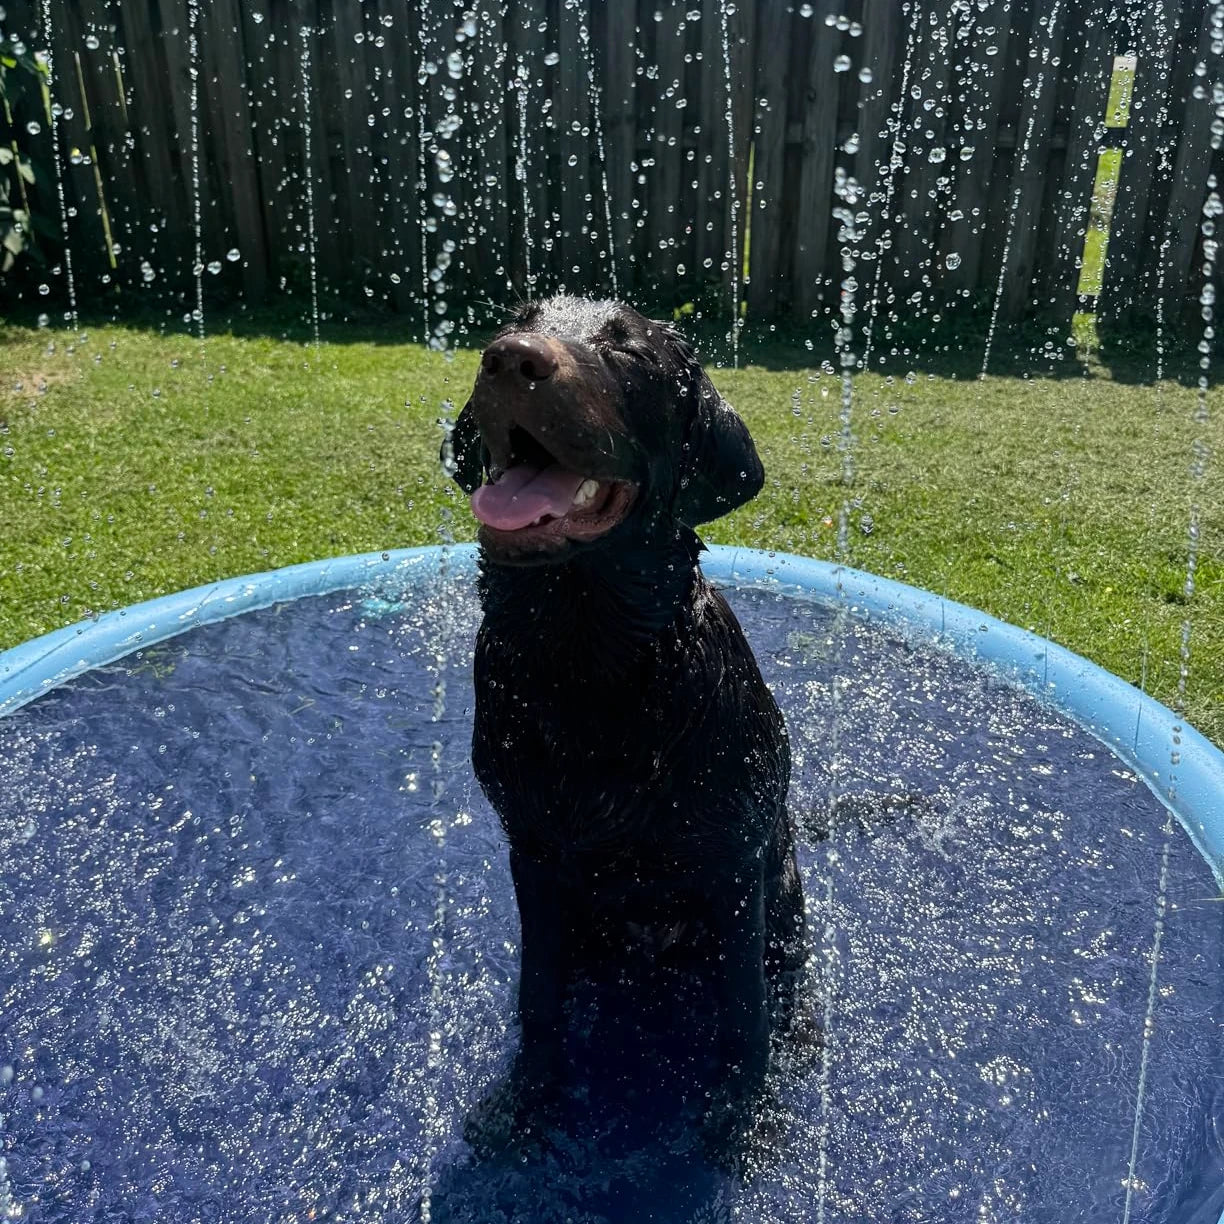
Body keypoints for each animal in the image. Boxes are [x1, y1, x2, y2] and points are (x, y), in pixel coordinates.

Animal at [445, 296, 807, 1155]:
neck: (589, 665)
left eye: (627, 351)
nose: (509, 357)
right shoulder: (535, 853)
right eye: (513, 320)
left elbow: (744, 1011)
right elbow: (539, 997)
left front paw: (740, 1112)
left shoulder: (733, 862)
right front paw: (528, 1098)